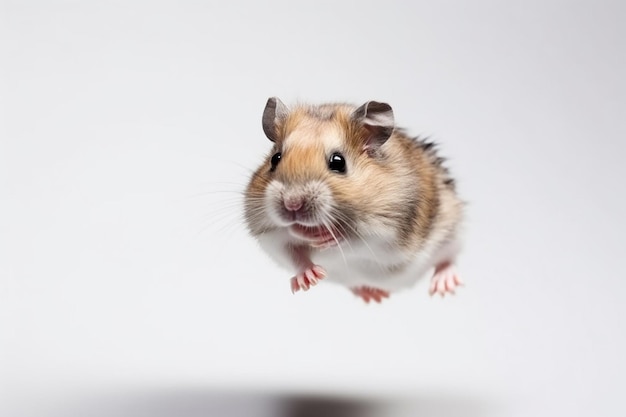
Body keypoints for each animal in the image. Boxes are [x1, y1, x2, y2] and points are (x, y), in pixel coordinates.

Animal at [244, 97, 464, 302]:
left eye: (338, 162)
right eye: (275, 159)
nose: (292, 205)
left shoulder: (384, 231)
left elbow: (353, 236)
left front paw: (325, 235)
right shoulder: (272, 238)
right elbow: (294, 254)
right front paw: (310, 280)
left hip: (451, 229)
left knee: (449, 257)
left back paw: (444, 286)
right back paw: (373, 295)